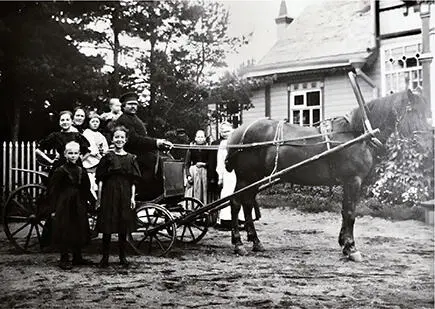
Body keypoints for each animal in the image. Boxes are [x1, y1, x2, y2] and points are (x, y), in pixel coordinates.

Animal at [227, 89, 430, 260]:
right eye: (413, 111)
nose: (427, 142)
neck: (357, 134)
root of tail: (237, 133)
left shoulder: (350, 182)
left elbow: (345, 211)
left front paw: (344, 243)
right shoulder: (353, 180)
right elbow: (350, 212)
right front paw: (351, 248)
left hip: (254, 179)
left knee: (247, 202)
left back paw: (255, 241)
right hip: (246, 177)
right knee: (236, 203)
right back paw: (238, 244)